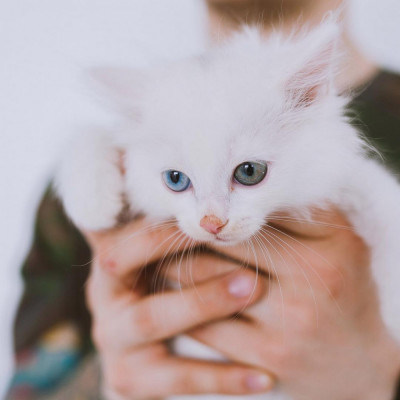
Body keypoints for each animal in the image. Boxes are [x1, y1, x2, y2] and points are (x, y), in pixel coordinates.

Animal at [57, 18, 400, 400]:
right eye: (176, 180)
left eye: (249, 172)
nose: (212, 223)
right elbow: (88, 132)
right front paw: (93, 203)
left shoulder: (346, 179)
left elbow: (386, 212)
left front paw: (391, 318)